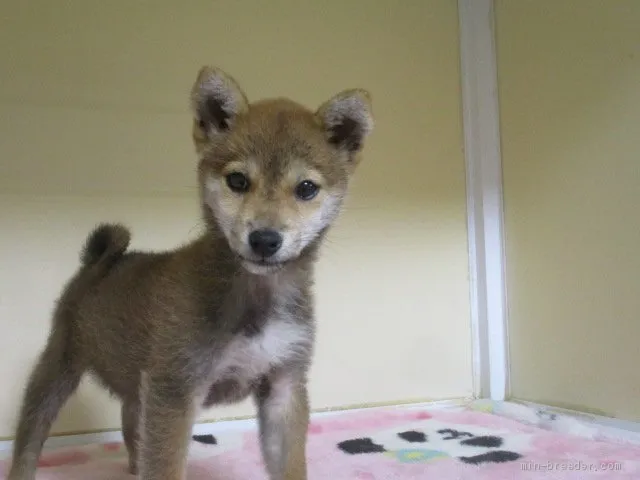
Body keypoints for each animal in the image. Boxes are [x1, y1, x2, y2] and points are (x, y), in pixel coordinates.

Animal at [6, 66, 376, 480]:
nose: (265, 239)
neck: (255, 293)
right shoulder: (177, 387)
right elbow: (166, 466)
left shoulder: (284, 385)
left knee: (132, 422)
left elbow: (291, 465)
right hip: (60, 362)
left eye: (307, 188)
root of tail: (97, 263)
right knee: (32, 432)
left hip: (137, 381)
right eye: (237, 181)